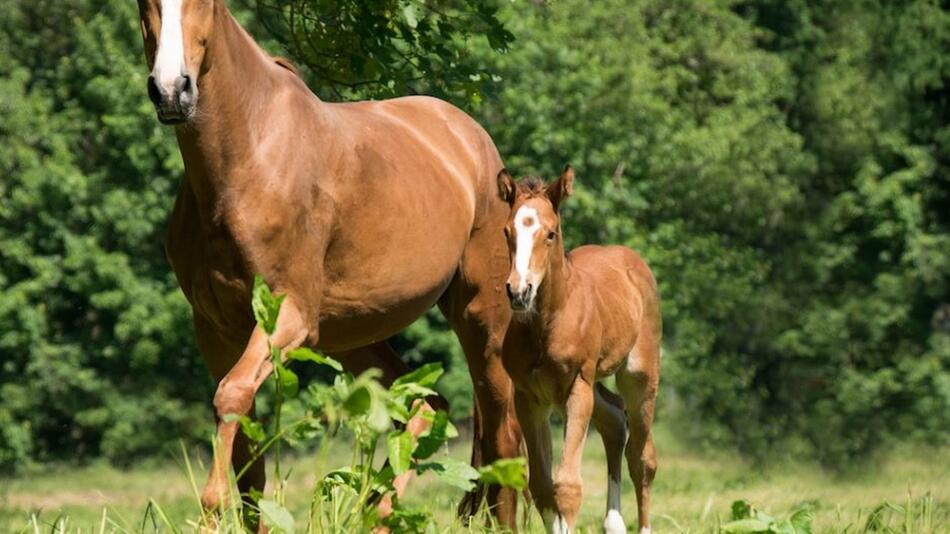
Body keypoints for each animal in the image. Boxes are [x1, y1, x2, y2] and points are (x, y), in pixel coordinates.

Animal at [135, 0, 524, 528]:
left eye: (206, 5)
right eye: (144, 4)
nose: (172, 90)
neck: (247, 159)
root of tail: (472, 139)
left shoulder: (290, 315)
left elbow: (230, 396)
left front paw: (211, 509)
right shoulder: (216, 330)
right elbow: (247, 455)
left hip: (481, 315)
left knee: (502, 430)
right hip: (354, 335)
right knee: (426, 403)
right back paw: (379, 514)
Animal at [498, 169, 660, 534]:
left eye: (550, 233)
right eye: (507, 231)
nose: (519, 291)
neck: (547, 324)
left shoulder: (577, 386)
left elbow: (568, 486)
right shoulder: (530, 397)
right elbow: (543, 487)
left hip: (638, 377)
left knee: (642, 458)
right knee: (614, 419)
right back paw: (614, 523)